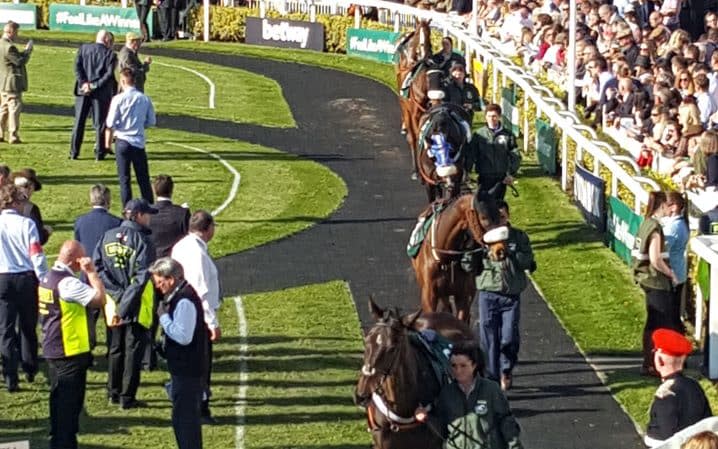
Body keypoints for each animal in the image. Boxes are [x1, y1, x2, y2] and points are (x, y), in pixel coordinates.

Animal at [394, 18, 434, 178]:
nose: (425, 52)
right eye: (418, 33)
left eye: (429, 32)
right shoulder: (412, 112)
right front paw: (416, 170)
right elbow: (416, 136)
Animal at [414, 192, 510, 322]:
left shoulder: (463, 294)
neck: (445, 258)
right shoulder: (429, 295)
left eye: (500, 215)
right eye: (483, 218)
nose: (500, 250)